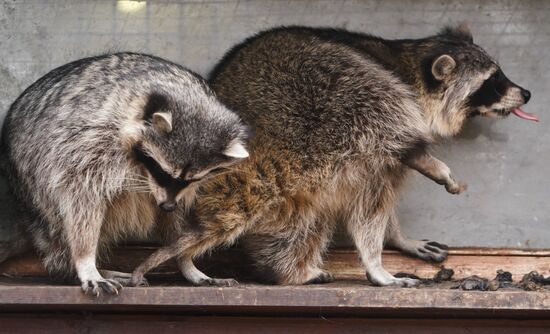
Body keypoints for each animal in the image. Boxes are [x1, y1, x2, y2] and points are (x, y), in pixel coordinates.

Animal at [0, 52, 250, 294]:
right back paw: (76, 267)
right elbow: (81, 199)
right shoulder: (88, 141)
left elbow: (176, 219)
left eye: (192, 179)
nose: (167, 205)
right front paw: (85, 261)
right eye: (163, 172)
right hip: (31, 180)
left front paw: (184, 260)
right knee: (59, 224)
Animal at [130, 24, 536, 288]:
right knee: (376, 95)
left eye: (500, 75)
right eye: (493, 82)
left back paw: (287, 269)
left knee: (300, 224)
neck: (411, 62)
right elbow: (377, 195)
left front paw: (398, 237)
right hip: (317, 96)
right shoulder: (384, 120)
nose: (527, 93)